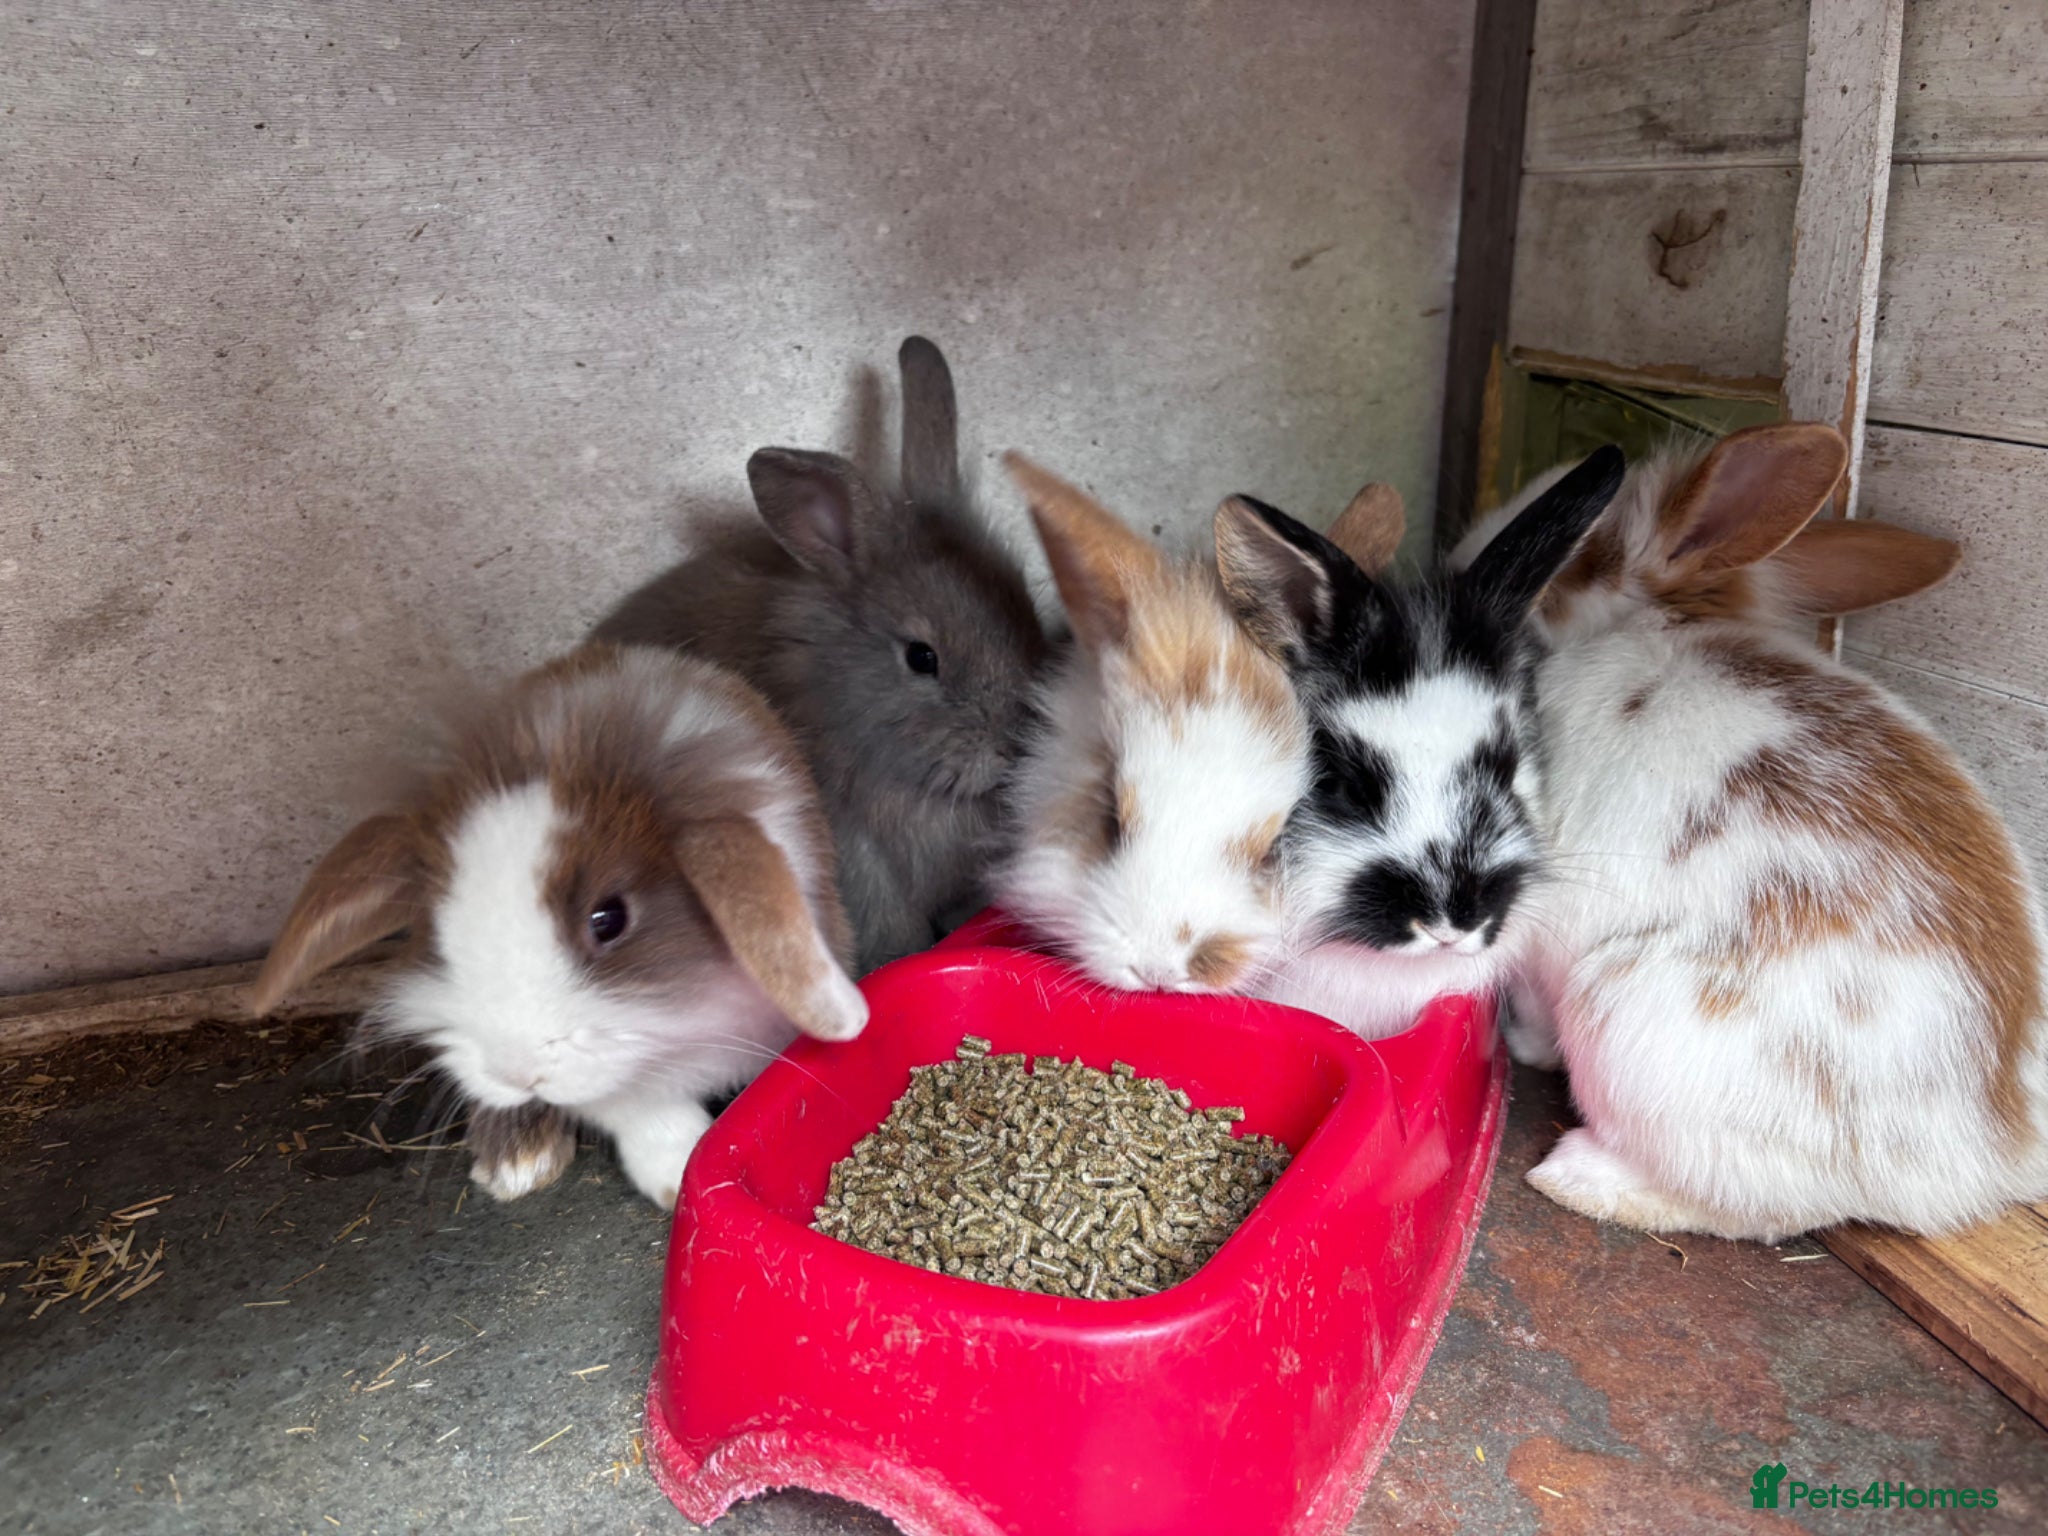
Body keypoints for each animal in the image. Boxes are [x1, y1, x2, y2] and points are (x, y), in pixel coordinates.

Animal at [248, 643, 868, 1210]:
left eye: (609, 920)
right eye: (438, 930)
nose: (516, 1070)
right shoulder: (616, 1084)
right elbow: (645, 1114)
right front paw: (678, 1180)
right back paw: (517, 1163)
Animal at [1455, 422, 2048, 1241]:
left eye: (1584, 552)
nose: (1459, 552)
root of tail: (1994, 1157)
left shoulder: (1543, 930)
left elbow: (1536, 1008)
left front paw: (1518, 1043)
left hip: (1622, 1016)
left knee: (1749, 1209)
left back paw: (1579, 1177)